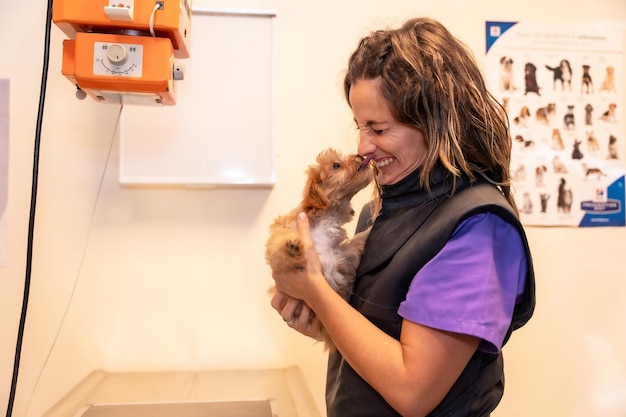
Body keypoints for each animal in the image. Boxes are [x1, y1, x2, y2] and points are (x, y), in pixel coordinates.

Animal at [264, 147, 372, 348]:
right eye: (336, 165)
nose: (359, 155)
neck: (327, 217)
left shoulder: (340, 256)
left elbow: (356, 242)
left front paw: (371, 227)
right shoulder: (283, 231)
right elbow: (279, 241)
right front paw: (292, 244)